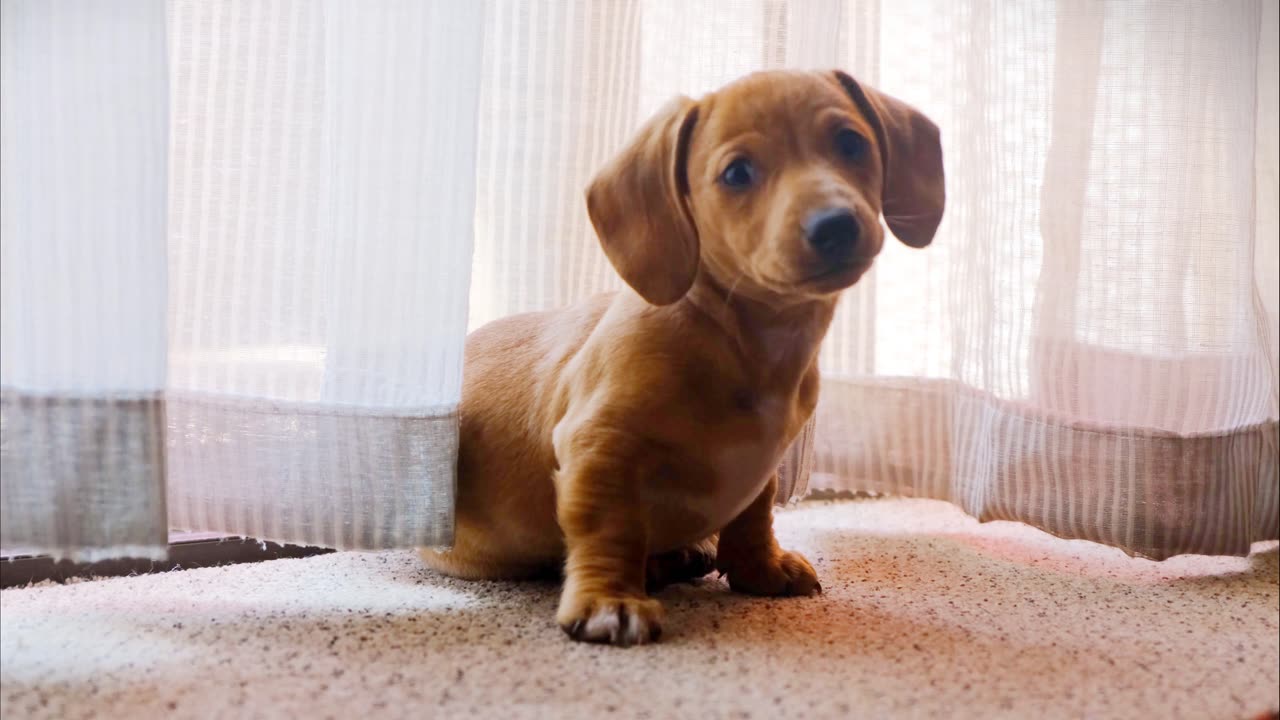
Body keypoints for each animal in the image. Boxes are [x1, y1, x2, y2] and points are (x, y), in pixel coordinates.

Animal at [419, 68, 942, 645]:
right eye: (737, 173)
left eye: (851, 142)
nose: (835, 225)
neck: (745, 340)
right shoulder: (599, 443)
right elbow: (610, 526)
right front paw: (610, 600)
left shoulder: (761, 467)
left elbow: (754, 515)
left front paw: (761, 569)